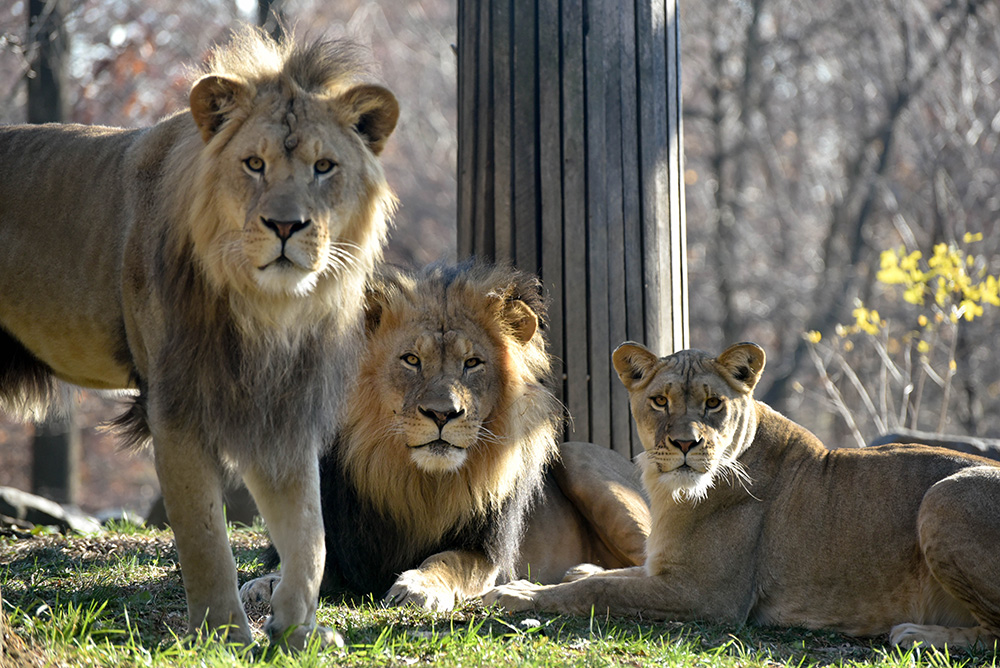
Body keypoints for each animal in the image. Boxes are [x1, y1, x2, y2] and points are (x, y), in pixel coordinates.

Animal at [0, 27, 398, 648]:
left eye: (324, 166)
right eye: (254, 164)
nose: (286, 226)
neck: (266, 311)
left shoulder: (279, 407)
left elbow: (310, 534)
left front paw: (297, 630)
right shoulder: (178, 404)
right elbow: (205, 538)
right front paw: (226, 634)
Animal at [240, 261, 650, 612]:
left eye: (472, 363)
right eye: (411, 360)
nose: (442, 413)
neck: (418, 480)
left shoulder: (484, 554)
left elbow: (446, 559)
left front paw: (418, 585)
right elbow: (310, 558)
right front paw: (269, 583)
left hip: (580, 459)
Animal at [486, 341, 1000, 650]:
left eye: (714, 404)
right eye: (660, 401)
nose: (686, 444)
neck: (671, 492)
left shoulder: (706, 596)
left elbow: (598, 590)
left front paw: (515, 594)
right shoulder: (664, 570)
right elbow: (611, 575)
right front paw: (558, 575)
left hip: (943, 497)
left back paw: (917, 634)